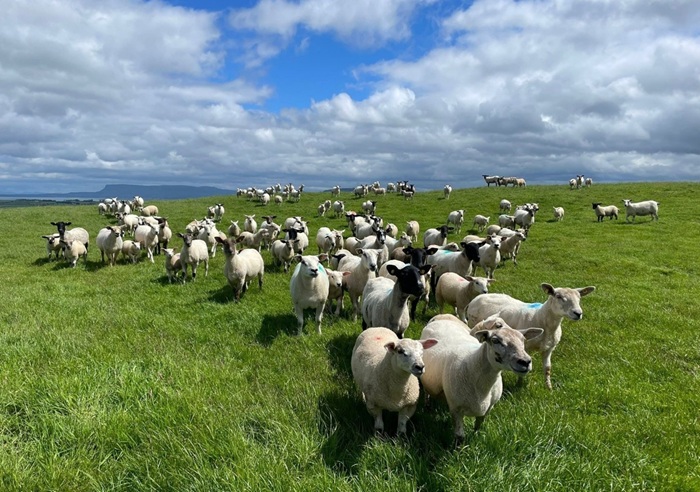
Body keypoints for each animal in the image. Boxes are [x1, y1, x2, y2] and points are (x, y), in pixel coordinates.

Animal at [420, 314, 542, 443]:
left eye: (523, 340)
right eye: (495, 340)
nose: (525, 362)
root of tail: (442, 317)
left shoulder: (489, 407)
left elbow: (478, 425)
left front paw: (475, 437)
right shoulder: (455, 408)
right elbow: (459, 437)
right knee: (426, 391)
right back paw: (427, 405)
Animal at [467, 283, 596, 390]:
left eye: (579, 298)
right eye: (558, 296)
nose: (578, 313)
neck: (541, 318)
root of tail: (477, 298)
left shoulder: (549, 349)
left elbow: (547, 368)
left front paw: (549, 388)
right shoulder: (525, 347)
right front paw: (519, 384)